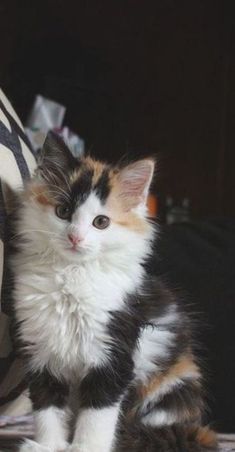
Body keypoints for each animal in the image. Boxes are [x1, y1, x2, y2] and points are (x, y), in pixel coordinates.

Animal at [11, 132, 217, 452]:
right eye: (63, 211)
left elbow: (97, 413)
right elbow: (47, 409)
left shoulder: (113, 354)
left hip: (171, 386)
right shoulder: (41, 352)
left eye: (101, 222)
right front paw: (49, 446)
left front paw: (84, 448)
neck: (72, 275)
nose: (75, 237)